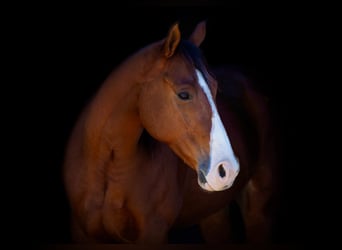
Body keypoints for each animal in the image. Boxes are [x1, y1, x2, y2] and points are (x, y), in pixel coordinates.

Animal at [62, 20, 280, 243]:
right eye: (183, 94)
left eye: (215, 87)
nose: (227, 170)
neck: (105, 169)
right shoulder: (81, 232)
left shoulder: (154, 231)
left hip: (259, 207)